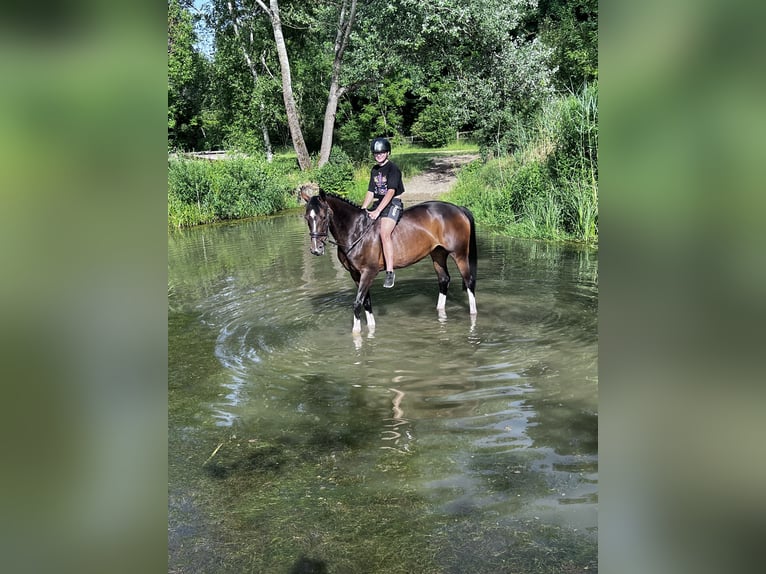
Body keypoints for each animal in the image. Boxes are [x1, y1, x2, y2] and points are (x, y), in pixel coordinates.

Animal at [302, 187, 476, 336]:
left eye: (323, 217)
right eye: (307, 218)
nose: (316, 249)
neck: (356, 230)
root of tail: (458, 209)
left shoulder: (368, 272)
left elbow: (358, 303)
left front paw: (356, 335)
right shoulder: (356, 274)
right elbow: (366, 302)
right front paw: (371, 328)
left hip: (459, 254)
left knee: (469, 281)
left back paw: (473, 313)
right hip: (438, 254)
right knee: (444, 280)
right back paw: (440, 311)